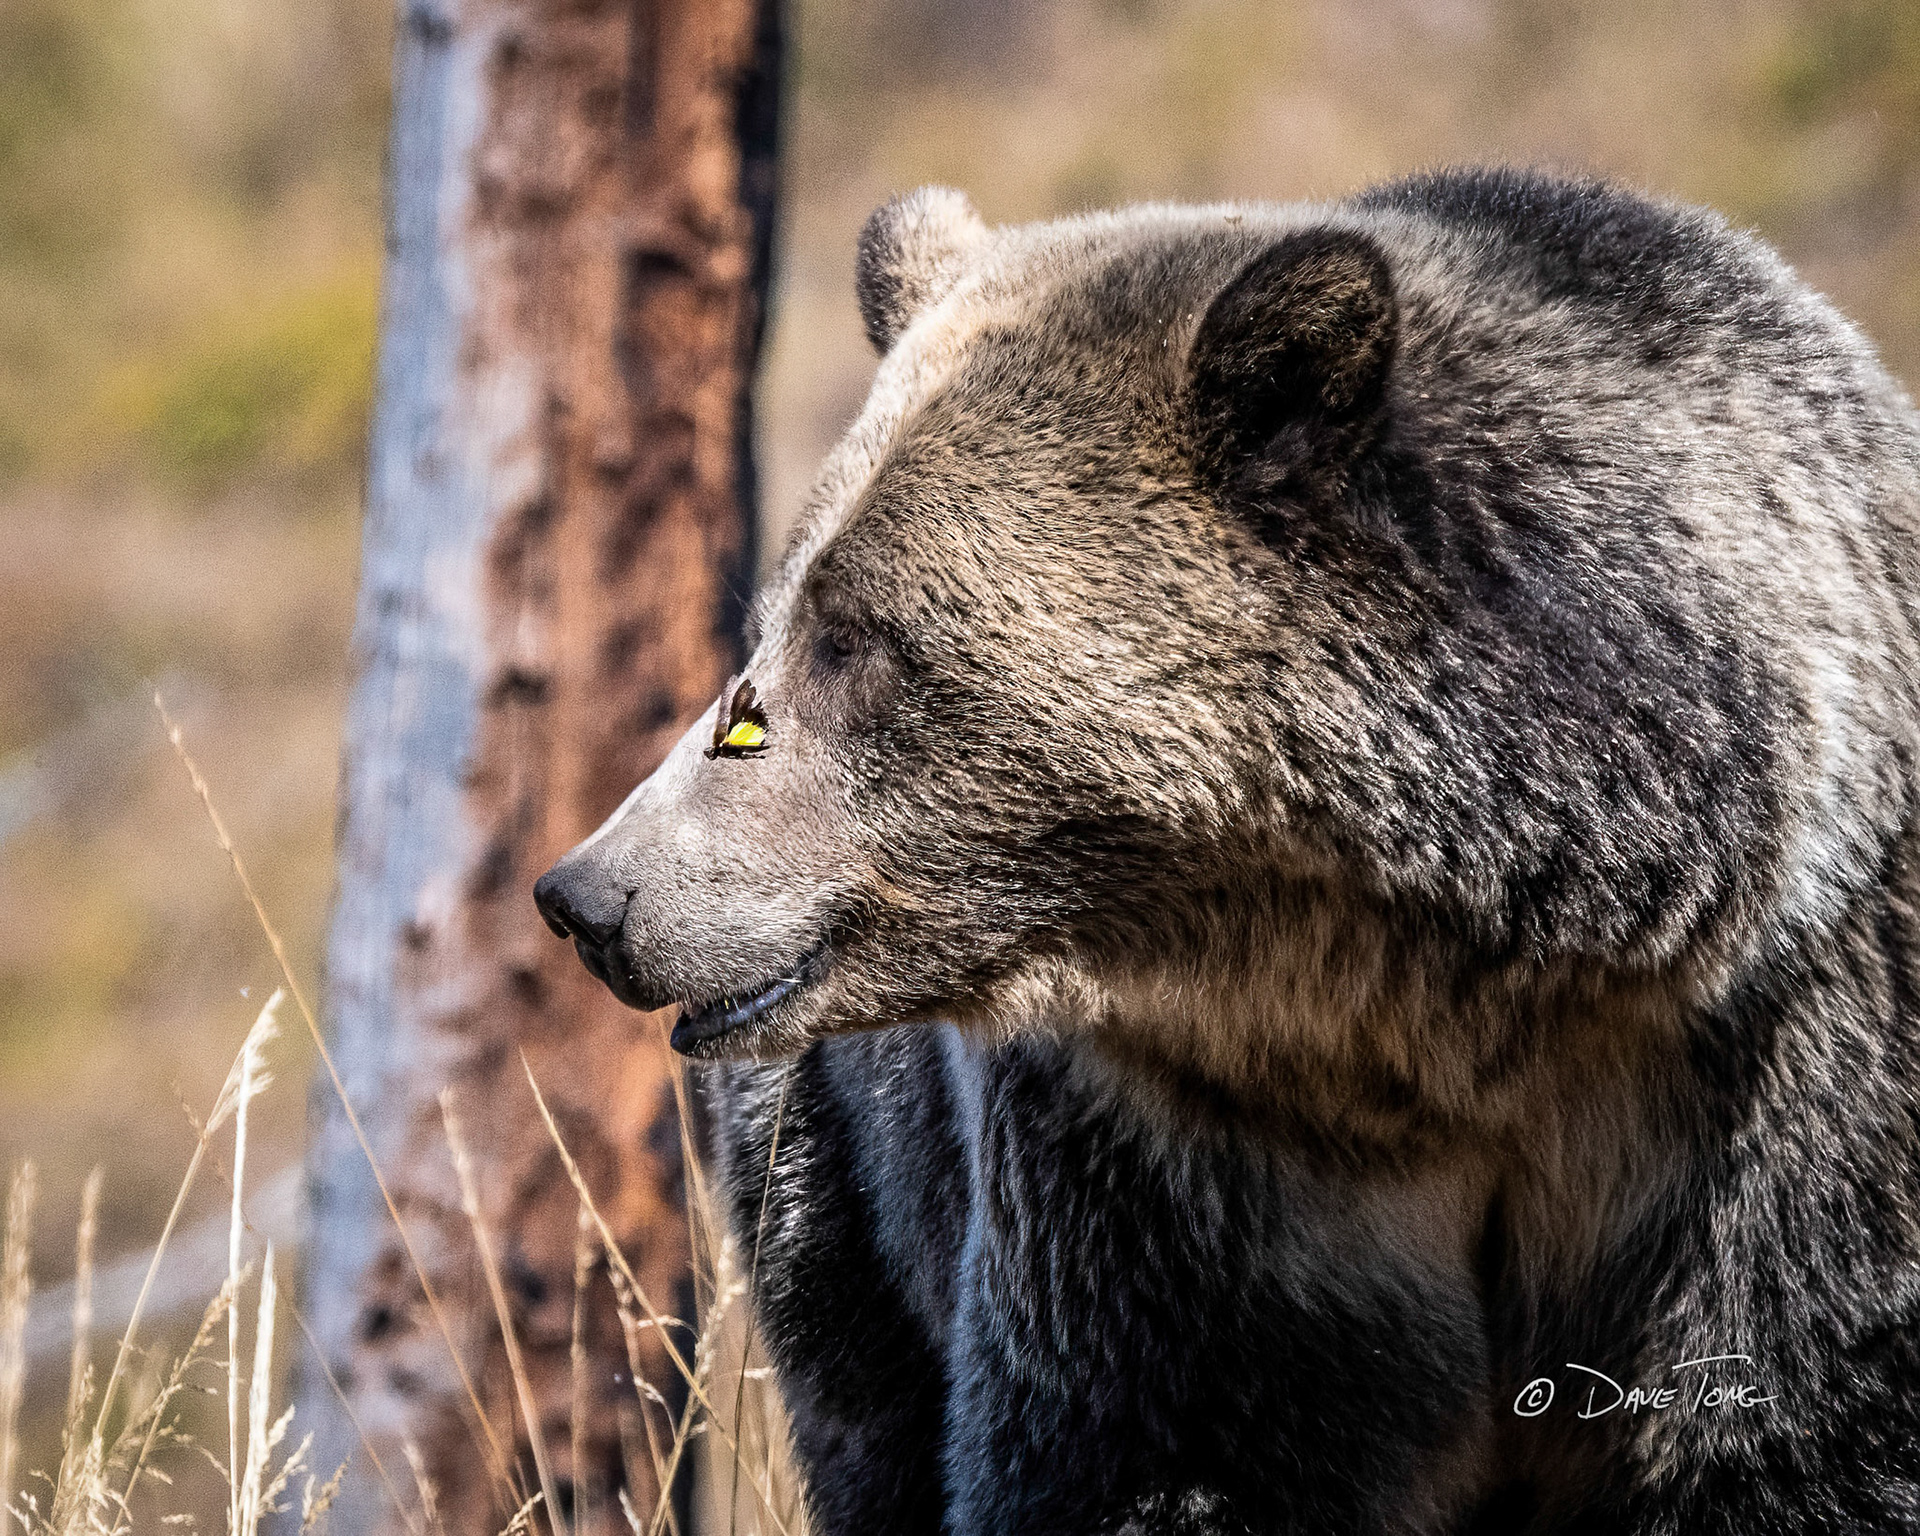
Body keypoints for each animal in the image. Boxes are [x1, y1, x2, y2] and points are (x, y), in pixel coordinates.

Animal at [534, 168, 1920, 1534]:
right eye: (768, 634)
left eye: (857, 637)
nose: (587, 895)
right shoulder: (1182, 1178)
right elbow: (1159, 1447)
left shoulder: (1774, 1080)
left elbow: (1796, 1430)